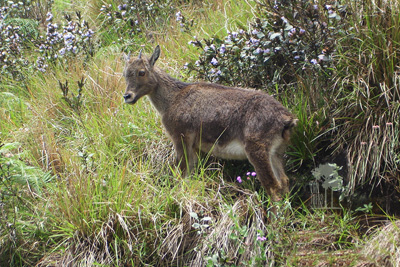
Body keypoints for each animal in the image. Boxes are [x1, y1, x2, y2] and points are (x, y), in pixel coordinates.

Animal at [122, 45, 296, 202]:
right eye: (125, 74)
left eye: (141, 72)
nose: (127, 96)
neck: (172, 99)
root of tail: (286, 119)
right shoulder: (195, 147)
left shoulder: (181, 138)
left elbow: (182, 174)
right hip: (276, 152)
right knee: (284, 183)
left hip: (257, 150)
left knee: (273, 187)